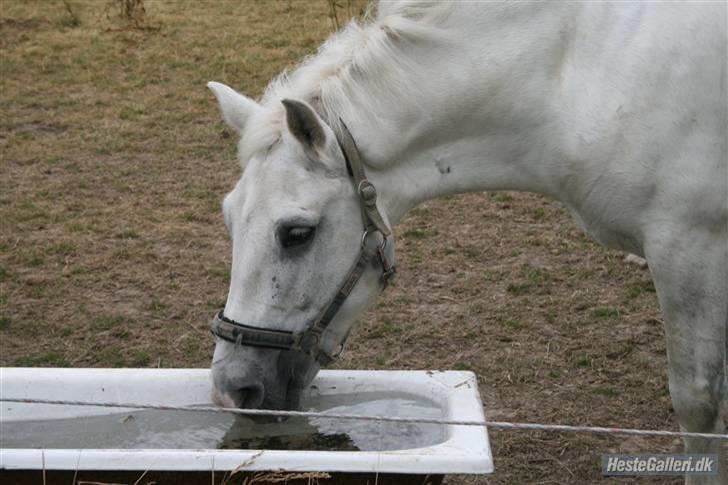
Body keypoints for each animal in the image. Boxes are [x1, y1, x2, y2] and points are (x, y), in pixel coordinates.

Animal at [208, 2, 724, 480]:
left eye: (297, 233)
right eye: (229, 218)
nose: (233, 390)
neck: (574, 73)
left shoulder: (689, 251)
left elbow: (699, 405)